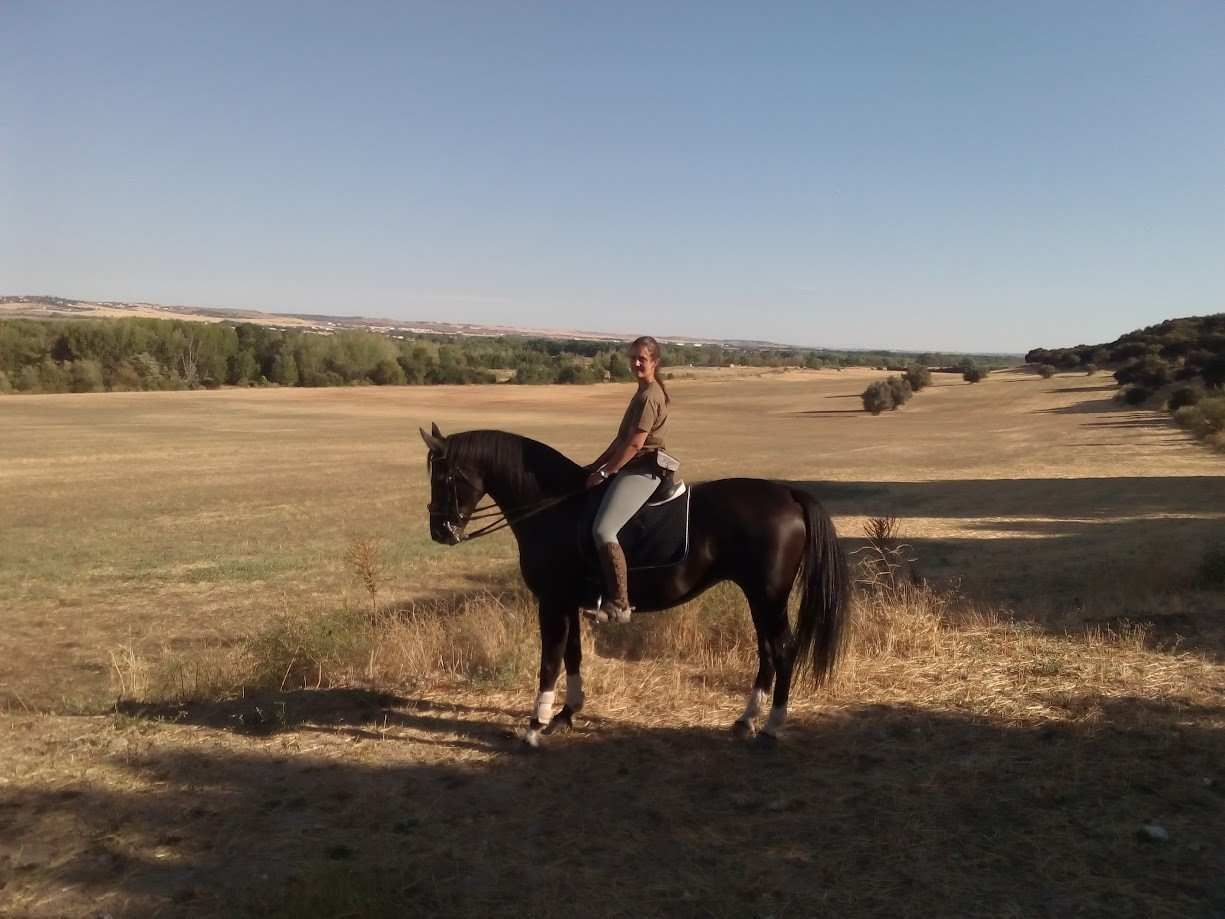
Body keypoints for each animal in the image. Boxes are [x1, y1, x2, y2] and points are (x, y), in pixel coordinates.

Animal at [419, 424, 850, 746]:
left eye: (444, 476)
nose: (440, 531)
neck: (552, 506)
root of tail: (788, 493)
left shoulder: (552, 602)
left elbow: (550, 660)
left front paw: (535, 726)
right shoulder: (569, 601)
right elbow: (573, 656)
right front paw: (566, 714)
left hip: (768, 596)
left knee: (783, 649)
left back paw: (772, 726)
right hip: (760, 597)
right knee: (767, 651)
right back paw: (746, 721)